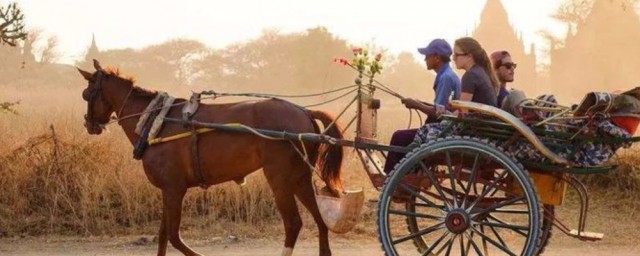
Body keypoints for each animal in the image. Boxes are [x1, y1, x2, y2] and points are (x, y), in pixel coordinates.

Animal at [77, 59, 342, 255]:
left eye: (86, 94)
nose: (89, 125)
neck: (156, 122)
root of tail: (304, 112)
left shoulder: (174, 189)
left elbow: (173, 237)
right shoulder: (167, 190)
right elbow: (163, 236)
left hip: (279, 178)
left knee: (293, 223)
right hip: (299, 177)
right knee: (320, 219)